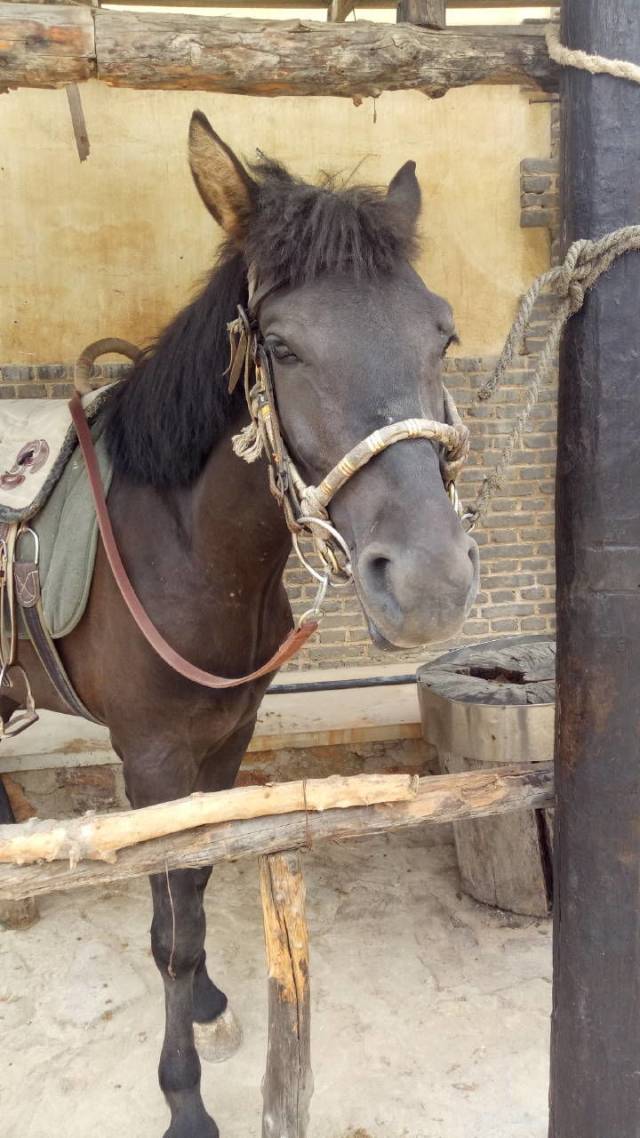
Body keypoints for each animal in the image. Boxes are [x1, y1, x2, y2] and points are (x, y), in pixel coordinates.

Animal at [0, 112, 479, 1138]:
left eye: (443, 334)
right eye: (286, 348)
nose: (429, 583)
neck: (182, 546)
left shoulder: (224, 742)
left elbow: (196, 882)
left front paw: (212, 1007)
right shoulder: (151, 757)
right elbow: (174, 928)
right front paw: (184, 1095)